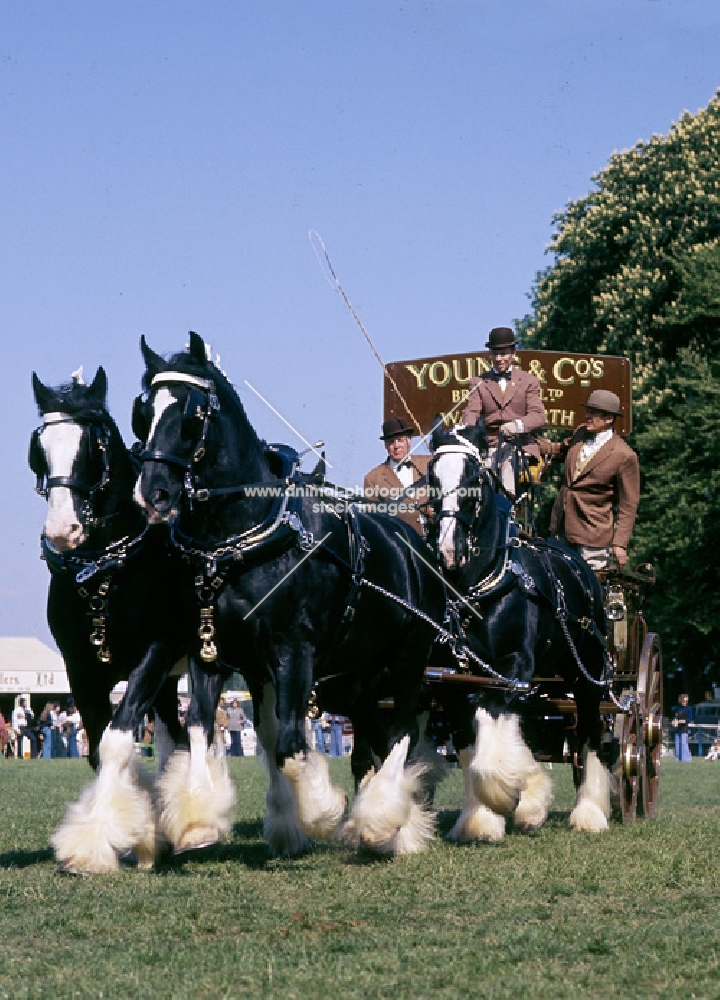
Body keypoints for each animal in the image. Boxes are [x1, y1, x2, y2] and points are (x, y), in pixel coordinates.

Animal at [31, 372, 233, 872]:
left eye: (95, 443)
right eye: (39, 447)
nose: (63, 530)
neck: (106, 570)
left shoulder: (155, 653)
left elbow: (118, 740)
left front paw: (90, 845)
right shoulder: (81, 669)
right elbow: (99, 745)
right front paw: (140, 835)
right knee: (175, 737)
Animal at [131, 332, 444, 856]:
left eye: (192, 414)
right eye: (143, 410)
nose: (152, 493)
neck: (239, 540)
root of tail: (416, 547)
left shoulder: (293, 651)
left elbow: (292, 744)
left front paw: (319, 811)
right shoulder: (211, 652)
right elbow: (200, 726)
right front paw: (198, 821)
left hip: (409, 657)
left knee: (401, 729)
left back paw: (381, 820)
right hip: (359, 677)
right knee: (375, 736)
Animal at [430, 418, 612, 840]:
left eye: (474, 478)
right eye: (432, 476)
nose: (448, 551)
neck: (478, 591)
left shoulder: (512, 668)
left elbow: (490, 743)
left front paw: (519, 800)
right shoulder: (451, 683)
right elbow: (470, 745)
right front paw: (480, 817)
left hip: (588, 671)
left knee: (591, 731)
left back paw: (590, 812)